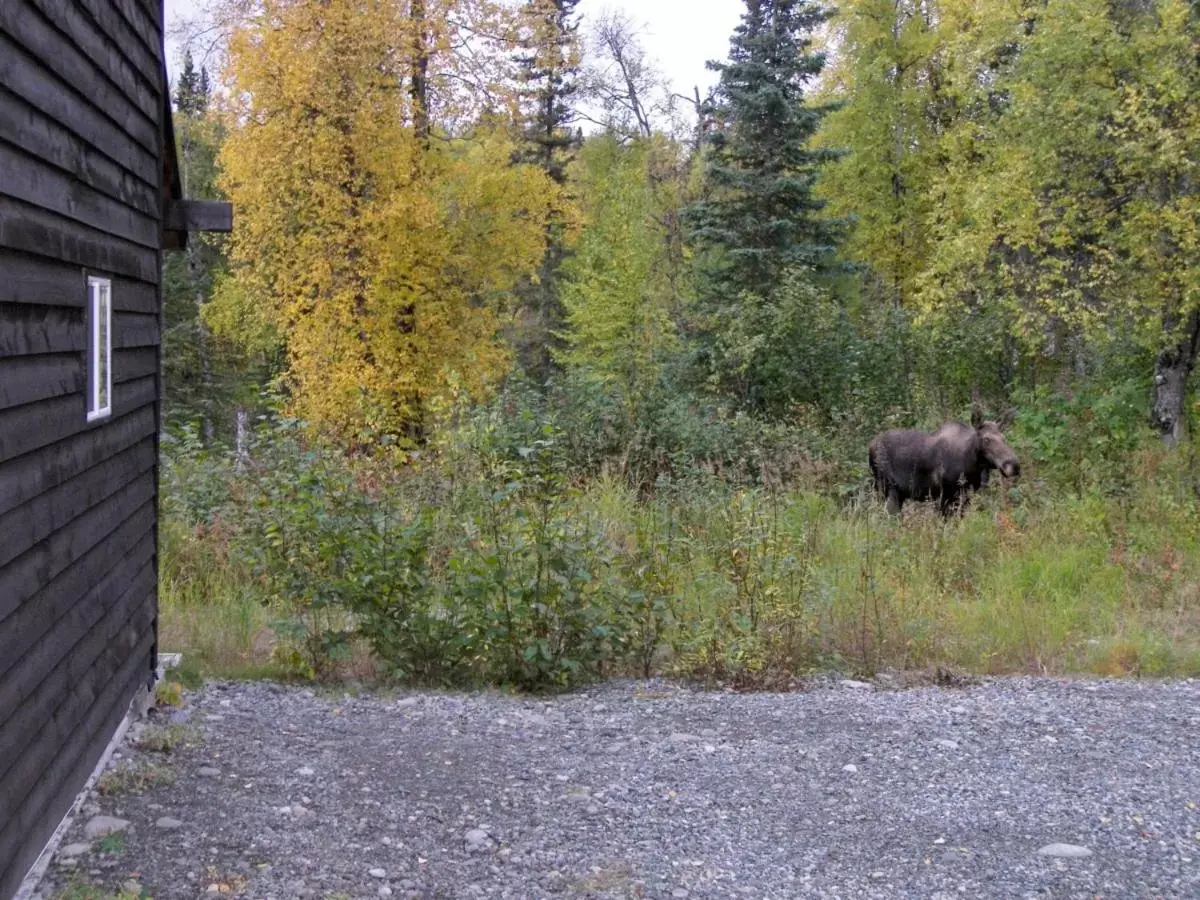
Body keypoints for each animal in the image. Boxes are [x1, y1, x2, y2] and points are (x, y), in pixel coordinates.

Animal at [868, 408, 1017, 518]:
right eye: (986, 440)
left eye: (1003, 438)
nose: (1013, 465)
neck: (971, 464)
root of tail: (871, 445)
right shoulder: (943, 496)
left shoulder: (965, 497)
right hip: (884, 487)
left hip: (897, 493)